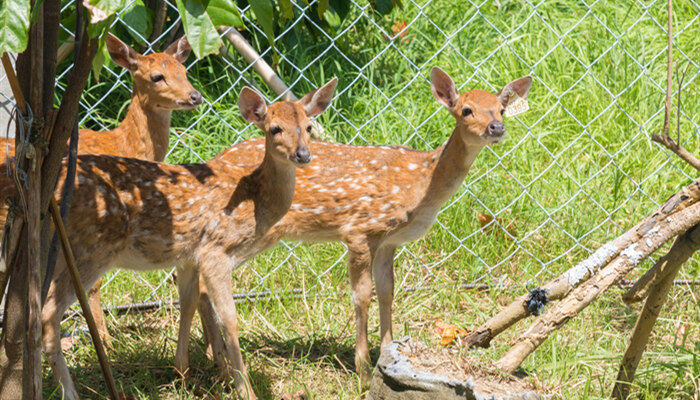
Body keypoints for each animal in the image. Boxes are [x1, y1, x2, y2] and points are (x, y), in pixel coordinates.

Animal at [0, 32, 202, 342]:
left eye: (185, 71)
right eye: (157, 76)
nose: (195, 96)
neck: (121, 145)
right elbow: (90, 285)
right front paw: (104, 338)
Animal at [191, 67, 532, 382]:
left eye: (501, 109)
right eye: (466, 110)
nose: (497, 126)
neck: (421, 183)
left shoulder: (389, 240)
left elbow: (387, 290)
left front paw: (388, 353)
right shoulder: (359, 230)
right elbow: (362, 295)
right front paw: (363, 371)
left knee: (202, 284)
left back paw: (213, 359)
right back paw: (218, 363)